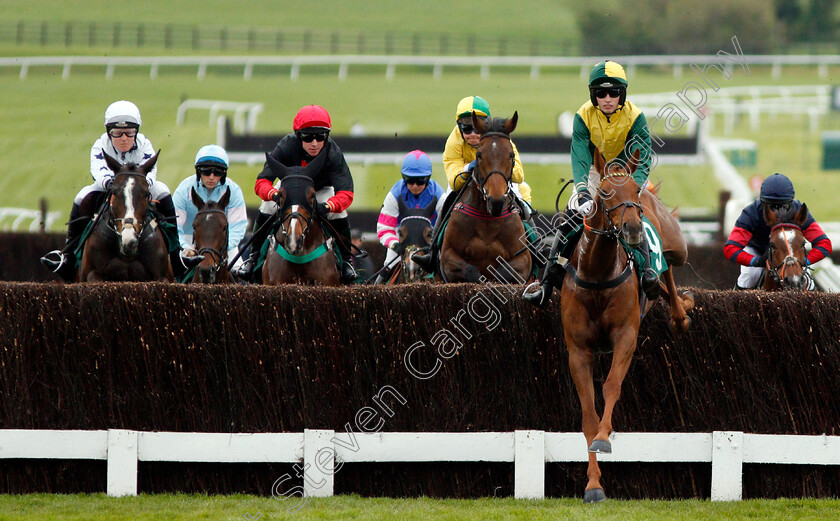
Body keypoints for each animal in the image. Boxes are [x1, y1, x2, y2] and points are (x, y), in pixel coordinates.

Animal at [440, 113, 532, 282]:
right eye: (479, 155)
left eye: (511, 155)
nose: (496, 202)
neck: (488, 219)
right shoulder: (448, 257)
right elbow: (472, 272)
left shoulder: (523, 260)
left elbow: (502, 272)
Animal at [560, 148, 700, 502]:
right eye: (605, 192)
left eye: (633, 191)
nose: (635, 230)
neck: (598, 272)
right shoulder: (578, 350)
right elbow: (588, 415)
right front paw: (593, 485)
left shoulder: (626, 336)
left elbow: (611, 386)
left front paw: (604, 439)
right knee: (662, 282)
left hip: (677, 244)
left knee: (668, 269)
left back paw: (681, 312)